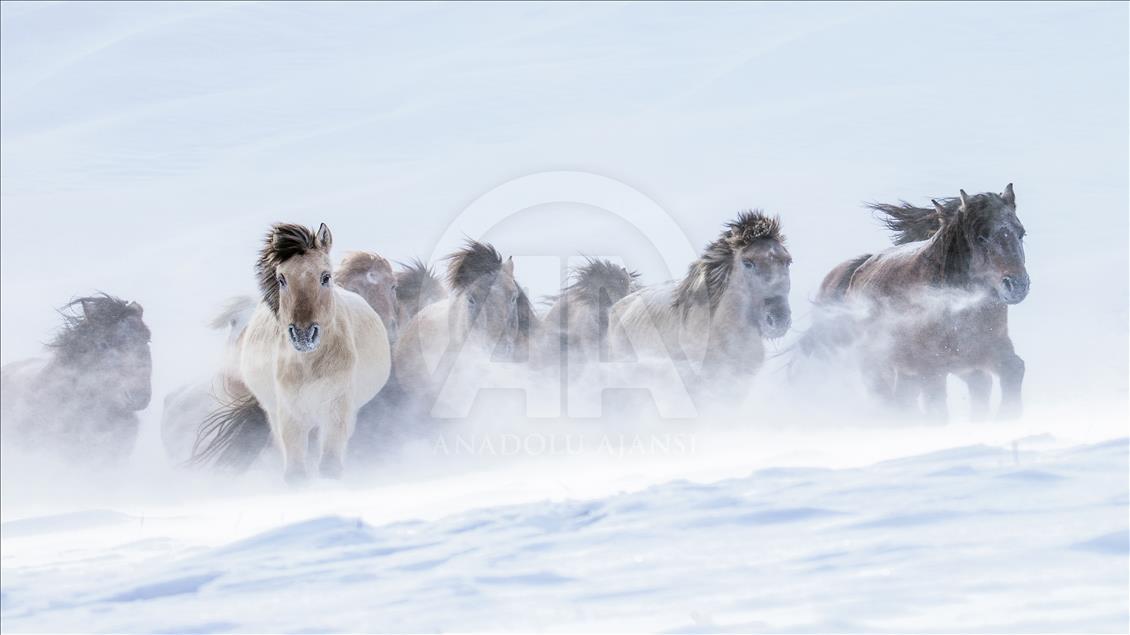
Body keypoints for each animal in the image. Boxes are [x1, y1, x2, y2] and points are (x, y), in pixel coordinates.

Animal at [188, 222, 388, 479]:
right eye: (281, 279)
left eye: (325, 276)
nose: (303, 335)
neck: (311, 364)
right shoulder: (290, 413)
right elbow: (295, 471)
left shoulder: (336, 409)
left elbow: (330, 465)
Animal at [804, 183, 1035, 420]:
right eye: (981, 237)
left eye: (1021, 233)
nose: (1017, 285)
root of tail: (858, 271)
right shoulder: (932, 370)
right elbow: (938, 411)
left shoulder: (985, 355)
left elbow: (1014, 370)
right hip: (881, 369)